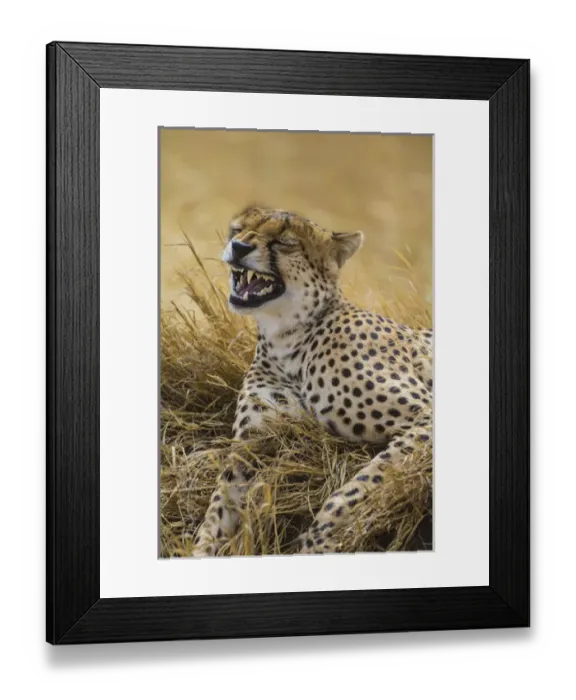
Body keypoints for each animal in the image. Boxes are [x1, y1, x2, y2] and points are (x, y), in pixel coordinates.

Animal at [192, 205, 433, 556]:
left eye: (283, 241)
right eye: (237, 229)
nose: (238, 247)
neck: (287, 341)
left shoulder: (426, 416)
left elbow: (365, 482)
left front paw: (316, 541)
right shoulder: (250, 449)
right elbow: (215, 514)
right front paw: (198, 549)